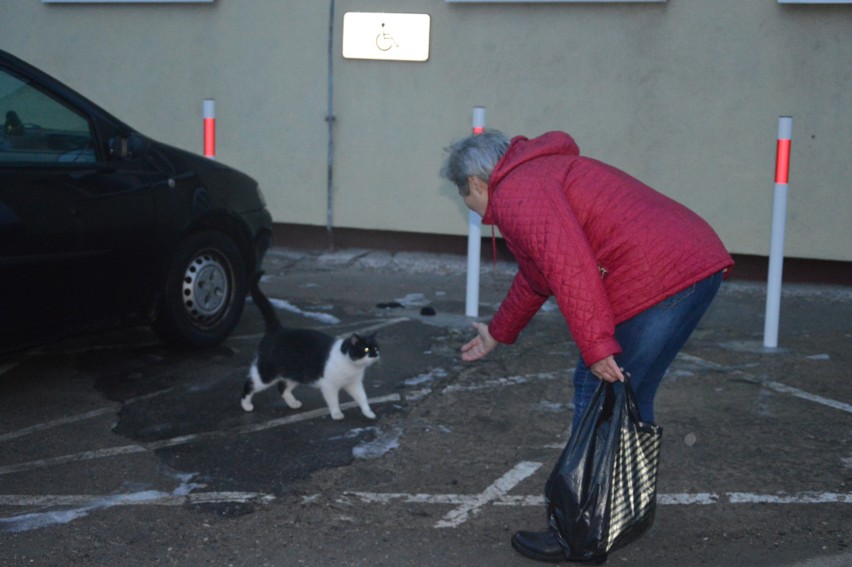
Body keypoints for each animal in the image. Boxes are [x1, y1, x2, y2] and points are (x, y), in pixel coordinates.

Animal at [240, 270, 380, 422]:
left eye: (376, 348)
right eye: (366, 349)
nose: (375, 355)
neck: (351, 366)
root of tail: (277, 330)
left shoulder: (354, 384)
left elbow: (362, 398)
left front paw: (368, 413)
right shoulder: (329, 385)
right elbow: (333, 401)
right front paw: (336, 414)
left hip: (295, 373)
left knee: (282, 387)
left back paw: (293, 403)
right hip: (266, 373)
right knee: (250, 383)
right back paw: (246, 405)